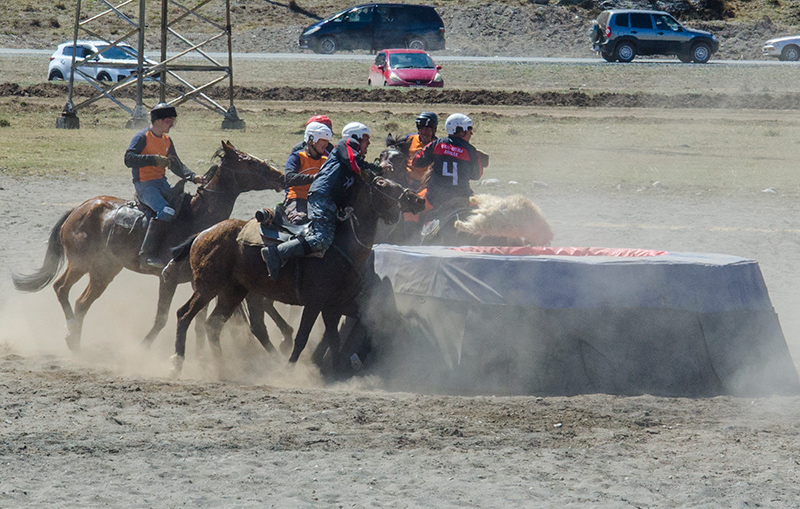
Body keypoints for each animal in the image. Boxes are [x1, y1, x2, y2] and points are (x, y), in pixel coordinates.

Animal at [11, 141, 288, 352]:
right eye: (250, 162)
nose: (282, 177)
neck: (196, 217)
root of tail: (80, 208)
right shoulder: (168, 278)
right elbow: (163, 317)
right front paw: (145, 347)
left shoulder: (201, 282)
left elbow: (201, 320)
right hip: (81, 263)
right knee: (61, 288)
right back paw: (70, 332)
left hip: (104, 270)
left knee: (82, 302)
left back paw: (76, 341)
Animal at [169, 169, 428, 376]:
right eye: (382, 184)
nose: (416, 199)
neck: (339, 245)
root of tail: (203, 233)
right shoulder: (315, 303)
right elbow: (303, 337)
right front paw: (291, 369)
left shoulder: (334, 305)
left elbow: (335, 336)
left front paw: (337, 370)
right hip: (208, 286)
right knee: (185, 315)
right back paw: (178, 362)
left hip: (234, 290)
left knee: (215, 325)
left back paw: (223, 366)